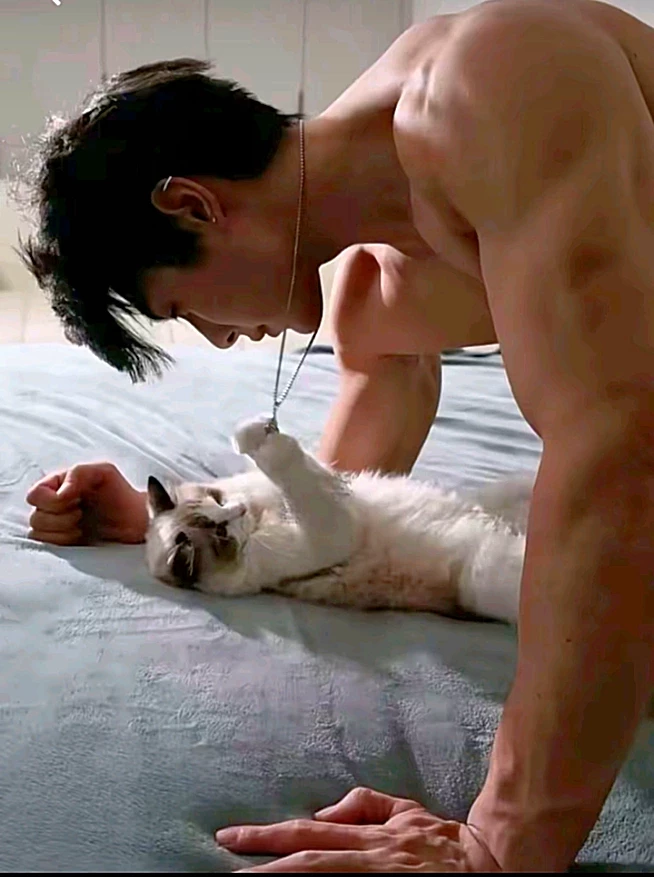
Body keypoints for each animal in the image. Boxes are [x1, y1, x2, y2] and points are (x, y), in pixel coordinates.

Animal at [145, 417, 532, 623]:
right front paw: (254, 436)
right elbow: (289, 466)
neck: (258, 520)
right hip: (486, 577)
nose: (238, 510)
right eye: (221, 533)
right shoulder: (327, 534)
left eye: (218, 500)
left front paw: (256, 432)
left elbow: (311, 474)